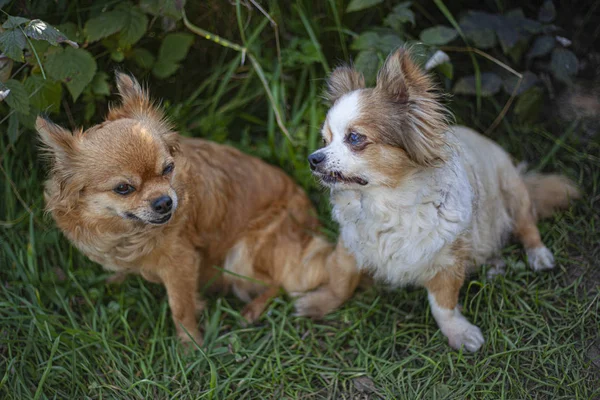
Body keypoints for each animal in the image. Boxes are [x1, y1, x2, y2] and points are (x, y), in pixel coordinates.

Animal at [38, 73, 360, 346]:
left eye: (168, 169)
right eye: (123, 188)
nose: (165, 201)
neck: (129, 232)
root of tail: (310, 221)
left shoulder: (181, 262)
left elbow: (181, 307)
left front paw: (191, 346)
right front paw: (116, 279)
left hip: (242, 254)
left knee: (279, 282)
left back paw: (252, 310)